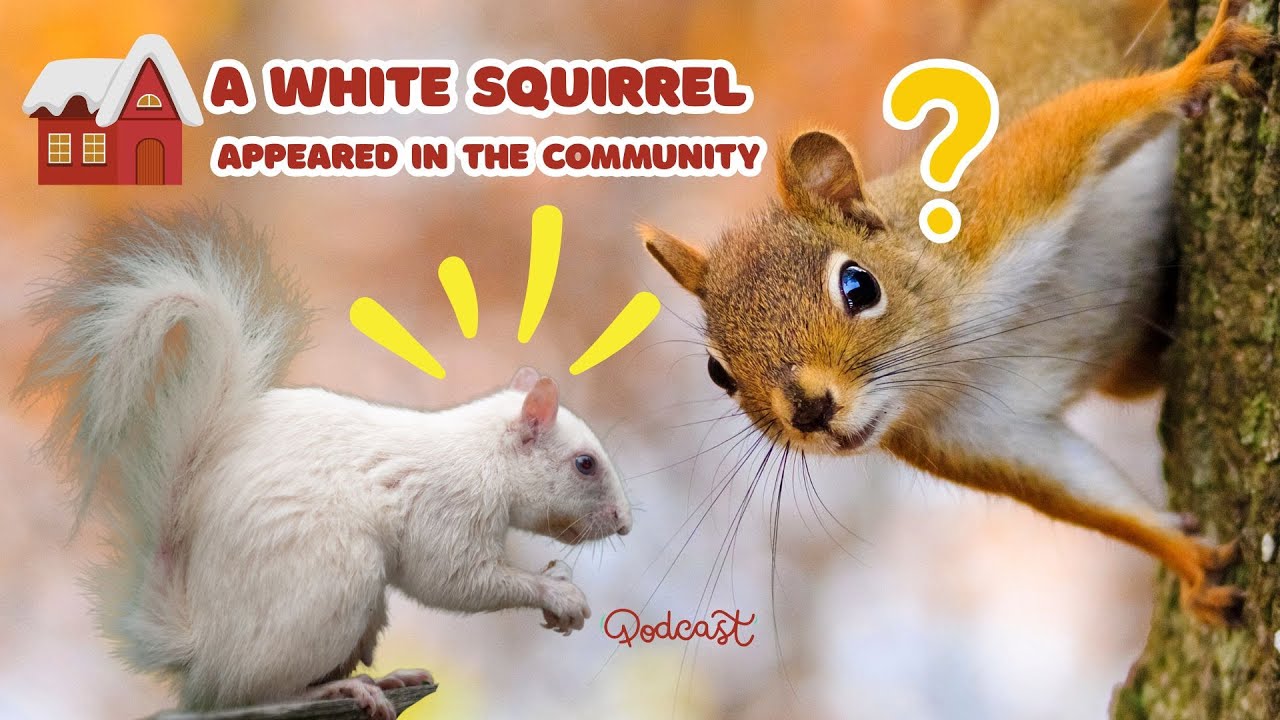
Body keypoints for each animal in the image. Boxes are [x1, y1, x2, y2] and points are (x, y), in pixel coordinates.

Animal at [16, 208, 632, 718]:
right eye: (585, 464)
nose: (625, 524)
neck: (485, 456)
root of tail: (201, 646)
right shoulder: (450, 506)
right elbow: (452, 580)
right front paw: (557, 593)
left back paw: (382, 679)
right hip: (332, 581)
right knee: (251, 691)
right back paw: (338, 688)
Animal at [639, 0, 1273, 626]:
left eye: (858, 285)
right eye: (718, 374)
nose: (810, 411)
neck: (957, 347)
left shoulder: (995, 199)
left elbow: (1080, 122)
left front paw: (1196, 67)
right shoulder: (981, 436)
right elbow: (1085, 493)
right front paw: (1189, 561)